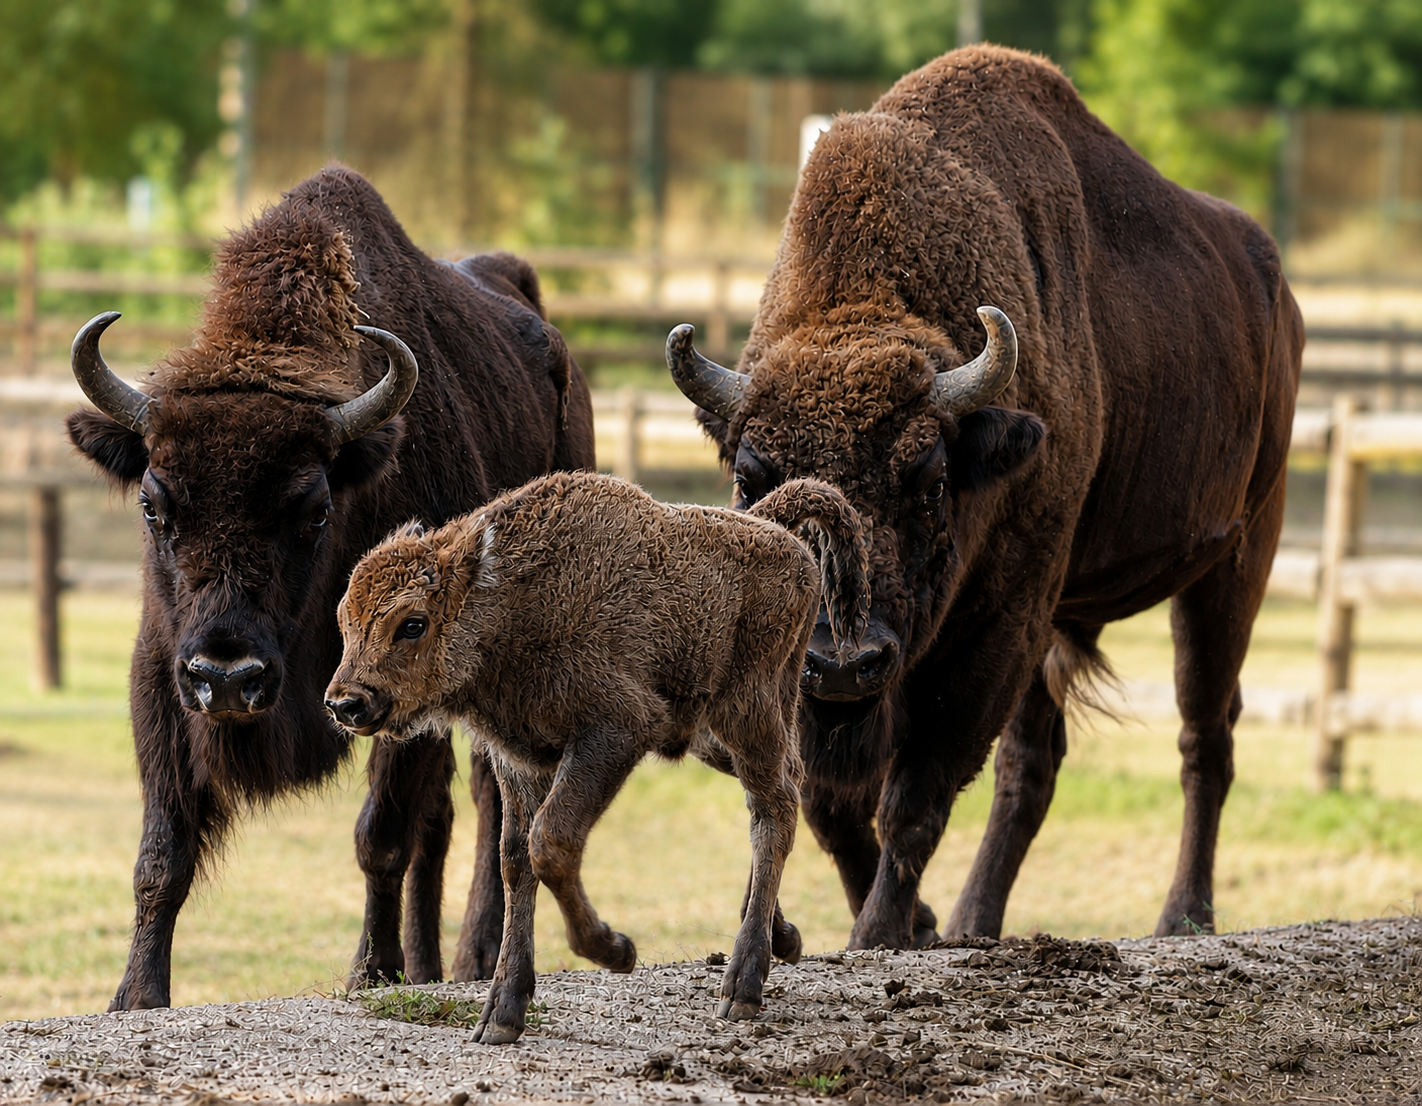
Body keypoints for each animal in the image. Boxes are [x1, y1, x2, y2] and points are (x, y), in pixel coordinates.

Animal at [66, 166, 594, 1009]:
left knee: (492, 800)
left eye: (314, 507)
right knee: (447, 812)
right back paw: (431, 962)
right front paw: (135, 996)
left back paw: (475, 958)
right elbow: (162, 852)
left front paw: (370, 971)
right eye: (154, 504)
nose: (228, 676)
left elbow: (380, 835)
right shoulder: (160, 673)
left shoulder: (403, 680)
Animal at [667, 46, 1303, 947]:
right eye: (751, 480)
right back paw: (976, 922)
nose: (843, 662)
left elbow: (917, 794)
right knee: (1035, 765)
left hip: (1233, 563)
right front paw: (921, 923)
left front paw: (881, 932)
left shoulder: (999, 622)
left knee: (1202, 738)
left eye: (932, 483)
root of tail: (1278, 292)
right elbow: (832, 803)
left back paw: (1183, 917)